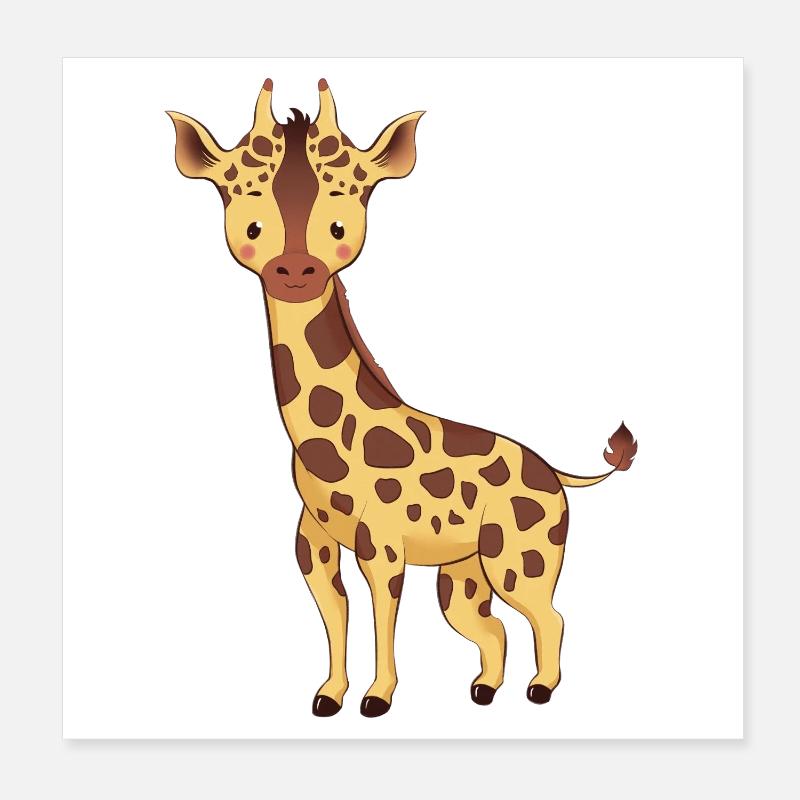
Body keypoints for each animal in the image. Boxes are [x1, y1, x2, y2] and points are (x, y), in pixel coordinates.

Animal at [167, 78, 637, 718]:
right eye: (252, 224)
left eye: (342, 227)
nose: (296, 271)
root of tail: (558, 475)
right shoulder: (313, 541)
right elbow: (335, 616)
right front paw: (329, 696)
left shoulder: (383, 545)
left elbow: (380, 616)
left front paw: (377, 698)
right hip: (465, 571)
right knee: (492, 626)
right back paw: (485, 691)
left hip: (521, 556)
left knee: (550, 615)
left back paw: (540, 690)